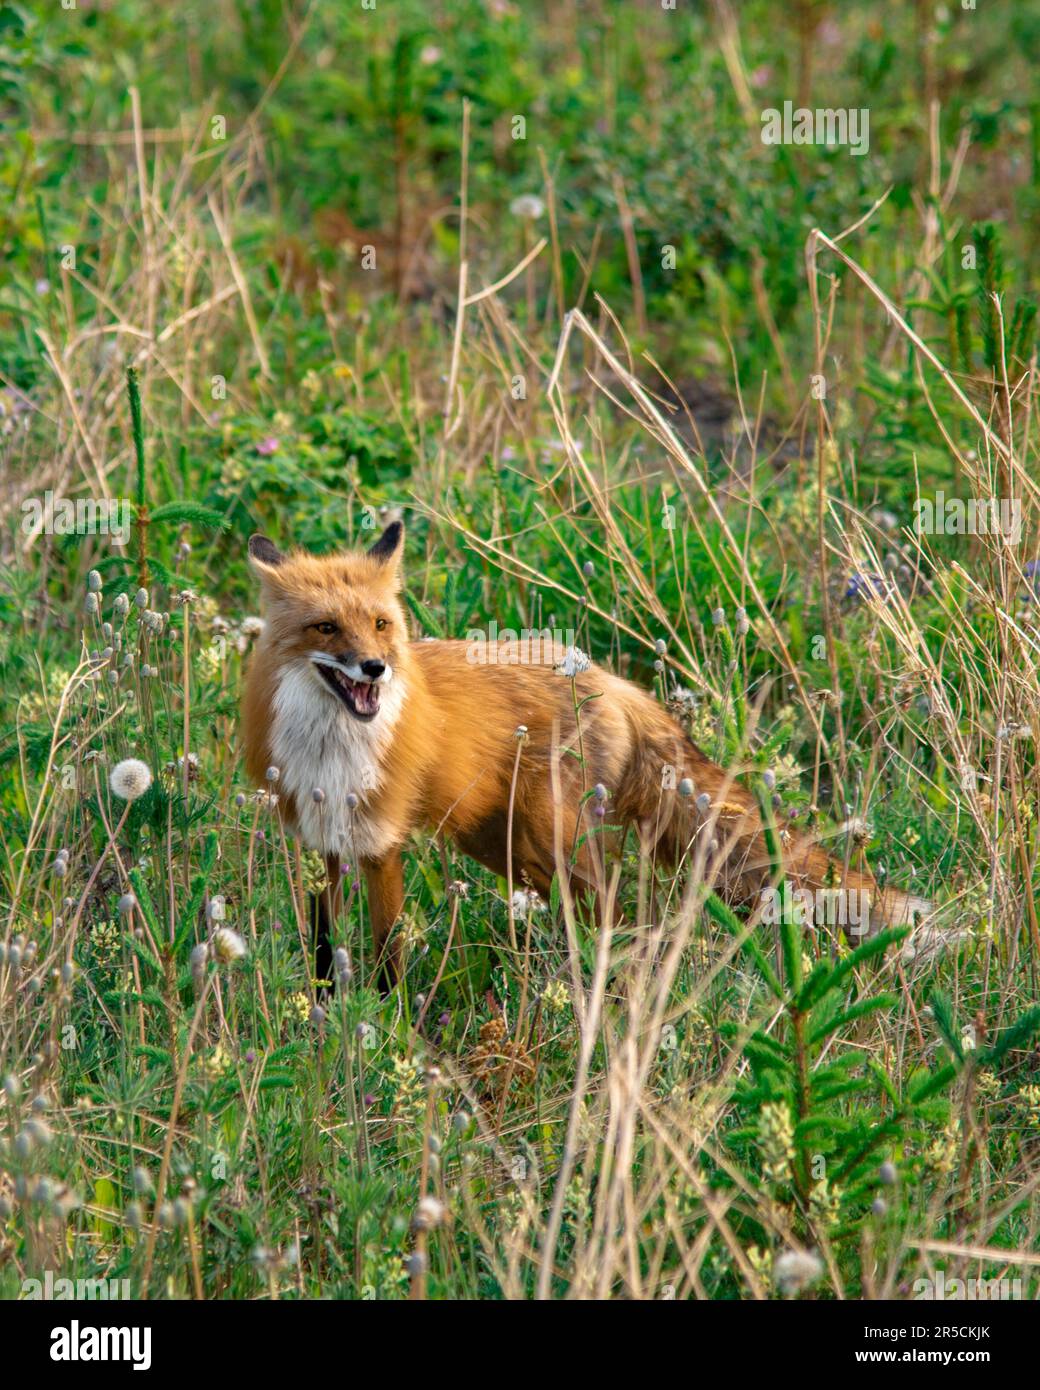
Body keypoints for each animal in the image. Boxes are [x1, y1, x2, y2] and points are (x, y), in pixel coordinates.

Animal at [243, 522, 934, 989]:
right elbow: (325, 949)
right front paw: (327, 1020)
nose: (376, 668)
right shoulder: (321, 843)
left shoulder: (380, 844)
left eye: (381, 626)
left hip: (548, 840)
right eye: (327, 627)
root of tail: (613, 680)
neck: (332, 748)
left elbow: (387, 957)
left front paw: (388, 1029)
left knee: (621, 915)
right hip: (506, 845)